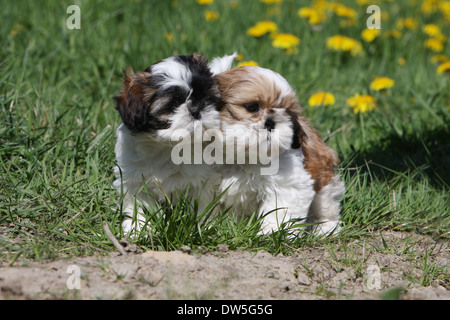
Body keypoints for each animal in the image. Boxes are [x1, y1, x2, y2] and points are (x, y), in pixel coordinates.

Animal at [214, 65, 344, 235]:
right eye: (252, 107)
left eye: (286, 112)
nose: (270, 122)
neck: (243, 157)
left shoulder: (289, 183)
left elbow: (280, 210)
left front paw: (273, 233)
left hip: (323, 181)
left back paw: (324, 228)